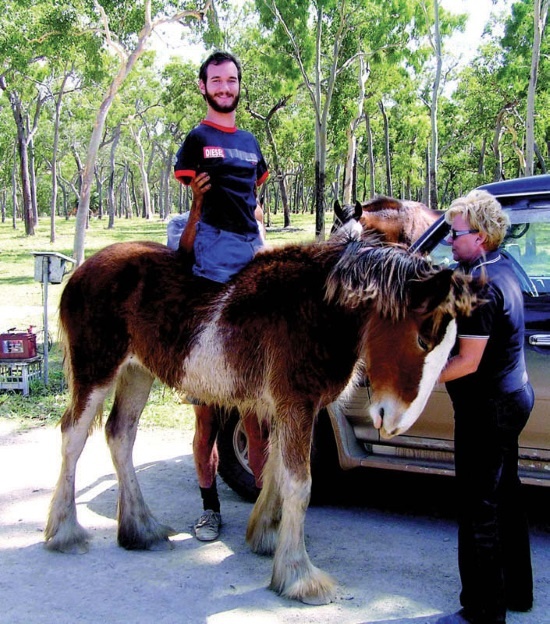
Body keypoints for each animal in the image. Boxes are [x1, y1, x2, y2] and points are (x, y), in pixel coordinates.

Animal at [45, 224, 476, 604]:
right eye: (422, 339)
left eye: (451, 350)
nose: (394, 420)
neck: (315, 307)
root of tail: (81, 269)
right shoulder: (297, 405)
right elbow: (299, 484)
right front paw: (299, 575)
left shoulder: (283, 409)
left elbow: (273, 468)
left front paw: (267, 537)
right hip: (97, 371)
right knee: (72, 436)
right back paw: (65, 531)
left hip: (137, 372)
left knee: (120, 435)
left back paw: (141, 530)